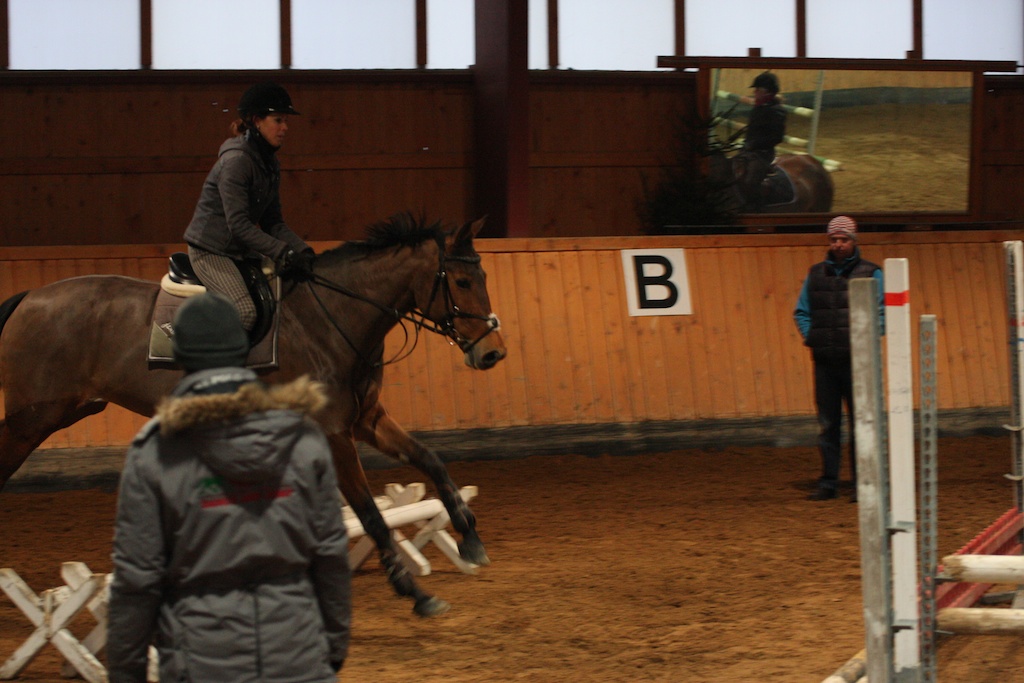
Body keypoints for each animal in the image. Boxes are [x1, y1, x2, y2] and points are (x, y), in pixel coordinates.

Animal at [0, 213, 507, 617]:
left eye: (483, 277)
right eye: (462, 282)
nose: (493, 354)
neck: (333, 316)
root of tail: (29, 297)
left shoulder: (367, 420)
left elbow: (431, 461)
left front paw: (470, 539)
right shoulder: (334, 433)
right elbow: (370, 514)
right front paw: (415, 592)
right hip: (34, 419)